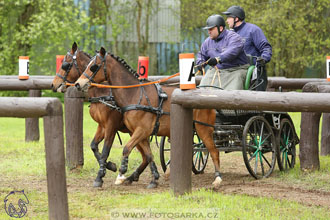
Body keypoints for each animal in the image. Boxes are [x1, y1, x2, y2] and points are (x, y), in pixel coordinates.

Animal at [51, 42, 148, 187]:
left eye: (65, 64)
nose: (54, 84)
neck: (103, 93)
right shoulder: (102, 126)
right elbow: (94, 146)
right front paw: (110, 166)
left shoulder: (111, 127)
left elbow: (105, 151)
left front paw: (100, 177)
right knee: (146, 157)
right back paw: (135, 176)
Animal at [75, 46, 222, 187]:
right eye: (87, 65)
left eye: (94, 66)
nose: (78, 84)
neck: (134, 94)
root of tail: (207, 92)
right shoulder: (138, 132)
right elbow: (149, 155)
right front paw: (154, 179)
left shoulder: (138, 129)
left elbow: (125, 149)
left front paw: (120, 173)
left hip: (203, 129)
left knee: (214, 151)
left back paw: (217, 179)